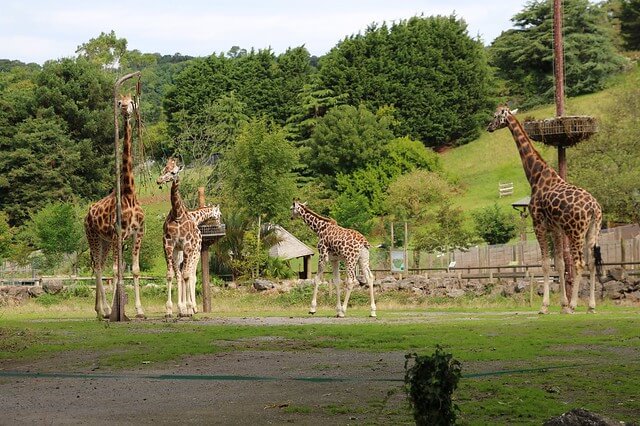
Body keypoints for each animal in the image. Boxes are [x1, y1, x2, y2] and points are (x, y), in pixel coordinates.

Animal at [84, 94, 145, 320]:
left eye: (132, 101)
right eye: (120, 103)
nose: (126, 109)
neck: (129, 193)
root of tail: (86, 215)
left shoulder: (138, 232)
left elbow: (134, 270)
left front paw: (139, 310)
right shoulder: (119, 233)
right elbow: (117, 270)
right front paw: (119, 310)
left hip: (105, 240)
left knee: (99, 265)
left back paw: (99, 309)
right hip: (93, 235)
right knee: (99, 267)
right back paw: (105, 310)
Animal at [155, 159, 220, 316]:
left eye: (174, 172)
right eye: (163, 169)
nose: (159, 180)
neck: (178, 214)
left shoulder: (190, 248)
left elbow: (188, 276)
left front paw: (189, 308)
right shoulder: (168, 244)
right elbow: (171, 275)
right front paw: (170, 309)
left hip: (187, 253)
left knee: (186, 275)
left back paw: (187, 308)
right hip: (177, 252)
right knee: (180, 274)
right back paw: (182, 307)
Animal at [488, 106, 604, 312]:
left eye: (495, 116)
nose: (488, 127)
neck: (535, 175)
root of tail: (593, 208)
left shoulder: (539, 225)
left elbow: (544, 265)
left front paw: (545, 306)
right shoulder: (556, 229)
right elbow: (559, 264)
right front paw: (562, 304)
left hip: (575, 231)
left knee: (579, 263)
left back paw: (575, 305)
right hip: (593, 229)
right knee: (590, 263)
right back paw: (591, 306)